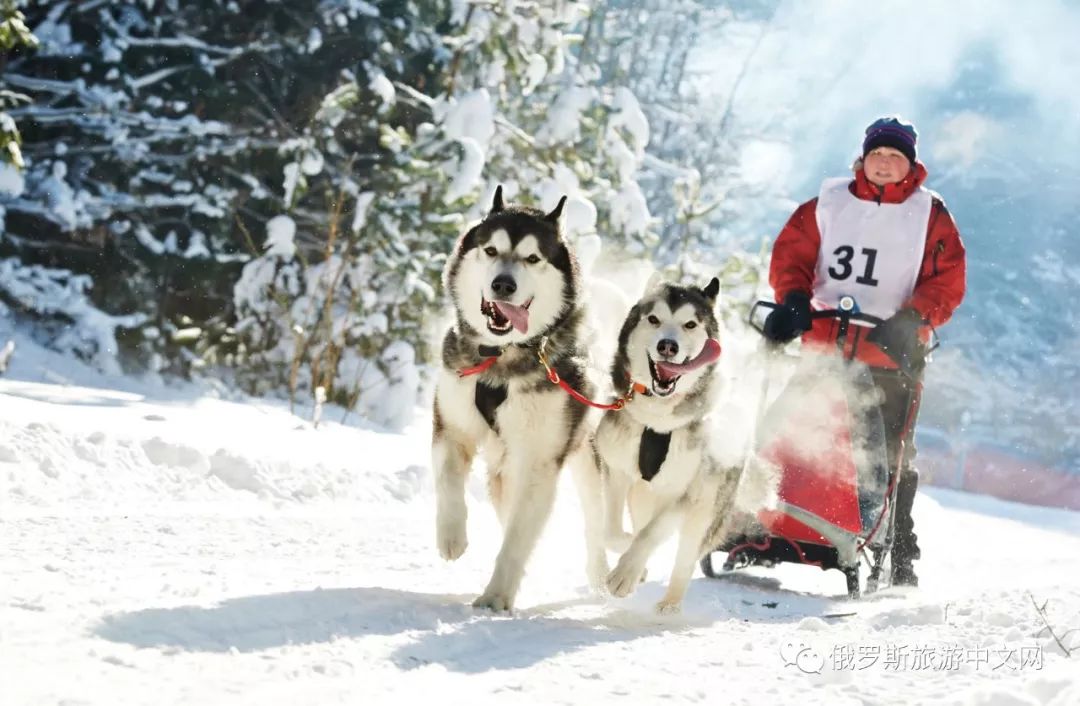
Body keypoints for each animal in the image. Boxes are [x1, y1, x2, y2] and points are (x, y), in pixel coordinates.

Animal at [429, 185, 604, 613]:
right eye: (491, 250)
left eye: (532, 258)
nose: (503, 285)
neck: (501, 357)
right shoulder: (451, 425)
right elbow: (448, 480)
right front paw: (452, 536)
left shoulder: (540, 460)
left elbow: (518, 538)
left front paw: (496, 595)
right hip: (502, 471)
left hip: (584, 460)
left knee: (596, 522)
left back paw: (603, 575)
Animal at [600, 278, 743, 617]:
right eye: (654, 319)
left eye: (690, 324)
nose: (668, 345)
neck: (658, 421)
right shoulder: (616, 469)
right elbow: (614, 532)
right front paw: (632, 563)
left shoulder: (688, 493)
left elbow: (651, 533)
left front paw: (625, 575)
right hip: (642, 495)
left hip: (705, 511)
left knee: (685, 556)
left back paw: (670, 604)